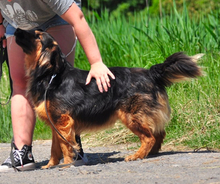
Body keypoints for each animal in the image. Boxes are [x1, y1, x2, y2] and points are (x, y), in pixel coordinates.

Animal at [14, 28, 203, 168]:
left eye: (37, 35)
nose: (16, 30)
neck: (52, 75)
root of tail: (150, 73)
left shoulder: (63, 121)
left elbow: (65, 146)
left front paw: (66, 164)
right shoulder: (56, 123)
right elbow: (55, 148)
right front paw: (50, 166)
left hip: (131, 116)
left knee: (149, 137)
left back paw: (137, 155)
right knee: (159, 133)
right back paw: (150, 153)